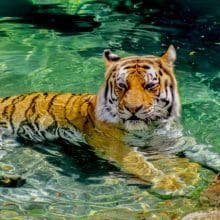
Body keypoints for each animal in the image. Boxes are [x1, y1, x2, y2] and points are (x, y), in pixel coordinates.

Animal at [0, 45, 220, 193]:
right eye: (122, 85)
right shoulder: (115, 145)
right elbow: (141, 163)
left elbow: (204, 152)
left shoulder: (175, 140)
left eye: (150, 86)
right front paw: (170, 183)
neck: (153, 126)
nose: (133, 108)